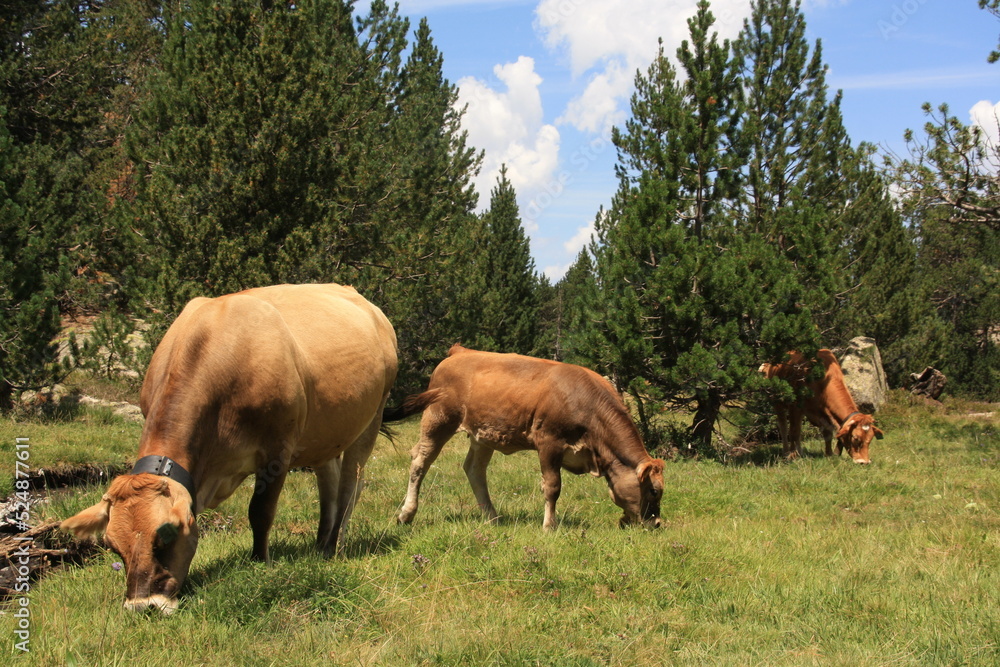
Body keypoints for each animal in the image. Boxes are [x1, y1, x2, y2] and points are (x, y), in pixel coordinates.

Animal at [59, 284, 398, 612]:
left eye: (166, 537)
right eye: (113, 546)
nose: (143, 606)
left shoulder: (277, 450)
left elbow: (260, 512)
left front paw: (259, 561)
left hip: (373, 414)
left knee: (351, 483)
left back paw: (333, 545)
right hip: (324, 433)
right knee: (330, 479)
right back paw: (319, 545)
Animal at [386, 348, 668, 528]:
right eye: (653, 490)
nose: (656, 523)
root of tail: (459, 352)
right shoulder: (549, 442)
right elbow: (553, 486)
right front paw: (549, 526)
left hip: (482, 434)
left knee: (474, 469)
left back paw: (492, 517)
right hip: (438, 419)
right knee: (420, 462)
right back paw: (406, 514)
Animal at [756, 350, 884, 464]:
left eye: (870, 439)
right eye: (855, 438)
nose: (864, 462)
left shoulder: (821, 411)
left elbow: (827, 433)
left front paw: (829, 454)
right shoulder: (795, 406)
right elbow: (793, 431)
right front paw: (792, 456)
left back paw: (800, 452)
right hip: (777, 402)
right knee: (783, 427)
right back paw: (787, 452)